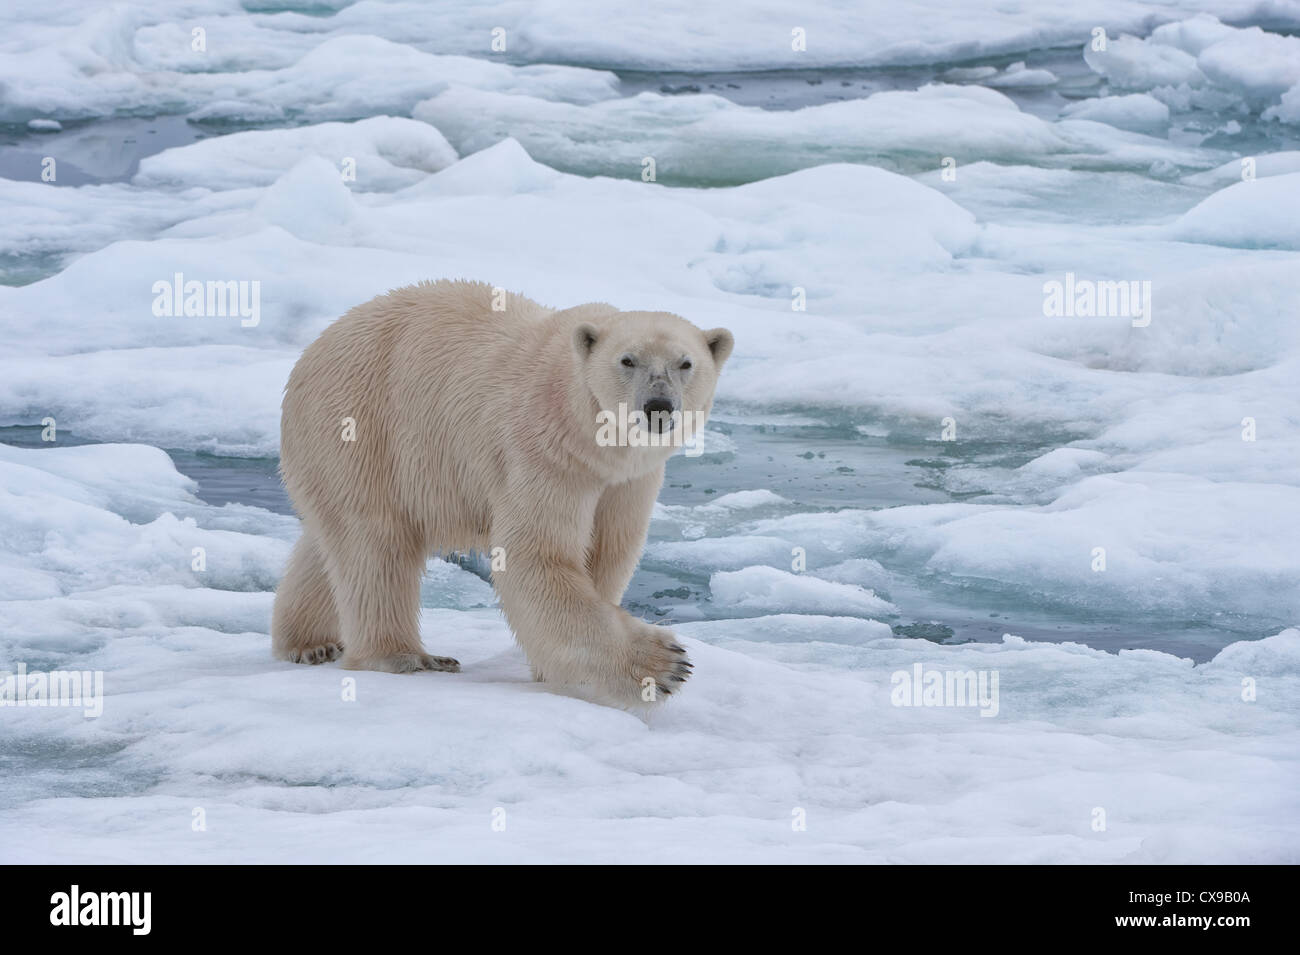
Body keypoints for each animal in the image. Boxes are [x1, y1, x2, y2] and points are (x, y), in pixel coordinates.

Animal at [271, 280, 733, 706]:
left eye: (686, 363)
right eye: (627, 360)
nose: (658, 406)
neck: (592, 439)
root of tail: (312, 351)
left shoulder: (628, 479)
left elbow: (608, 551)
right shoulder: (543, 451)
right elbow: (538, 554)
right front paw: (663, 665)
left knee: (329, 541)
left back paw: (309, 642)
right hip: (362, 423)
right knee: (374, 542)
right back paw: (404, 657)